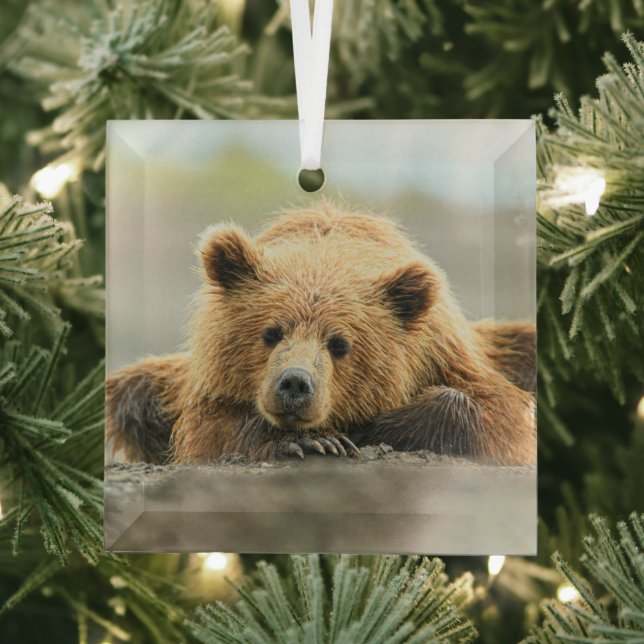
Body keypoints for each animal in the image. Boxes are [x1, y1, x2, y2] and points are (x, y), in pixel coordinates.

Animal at [106, 203, 536, 466]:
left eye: (340, 343)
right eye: (270, 332)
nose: (295, 383)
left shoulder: (446, 354)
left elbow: (501, 415)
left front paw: (369, 429)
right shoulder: (205, 386)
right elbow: (208, 430)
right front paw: (312, 440)